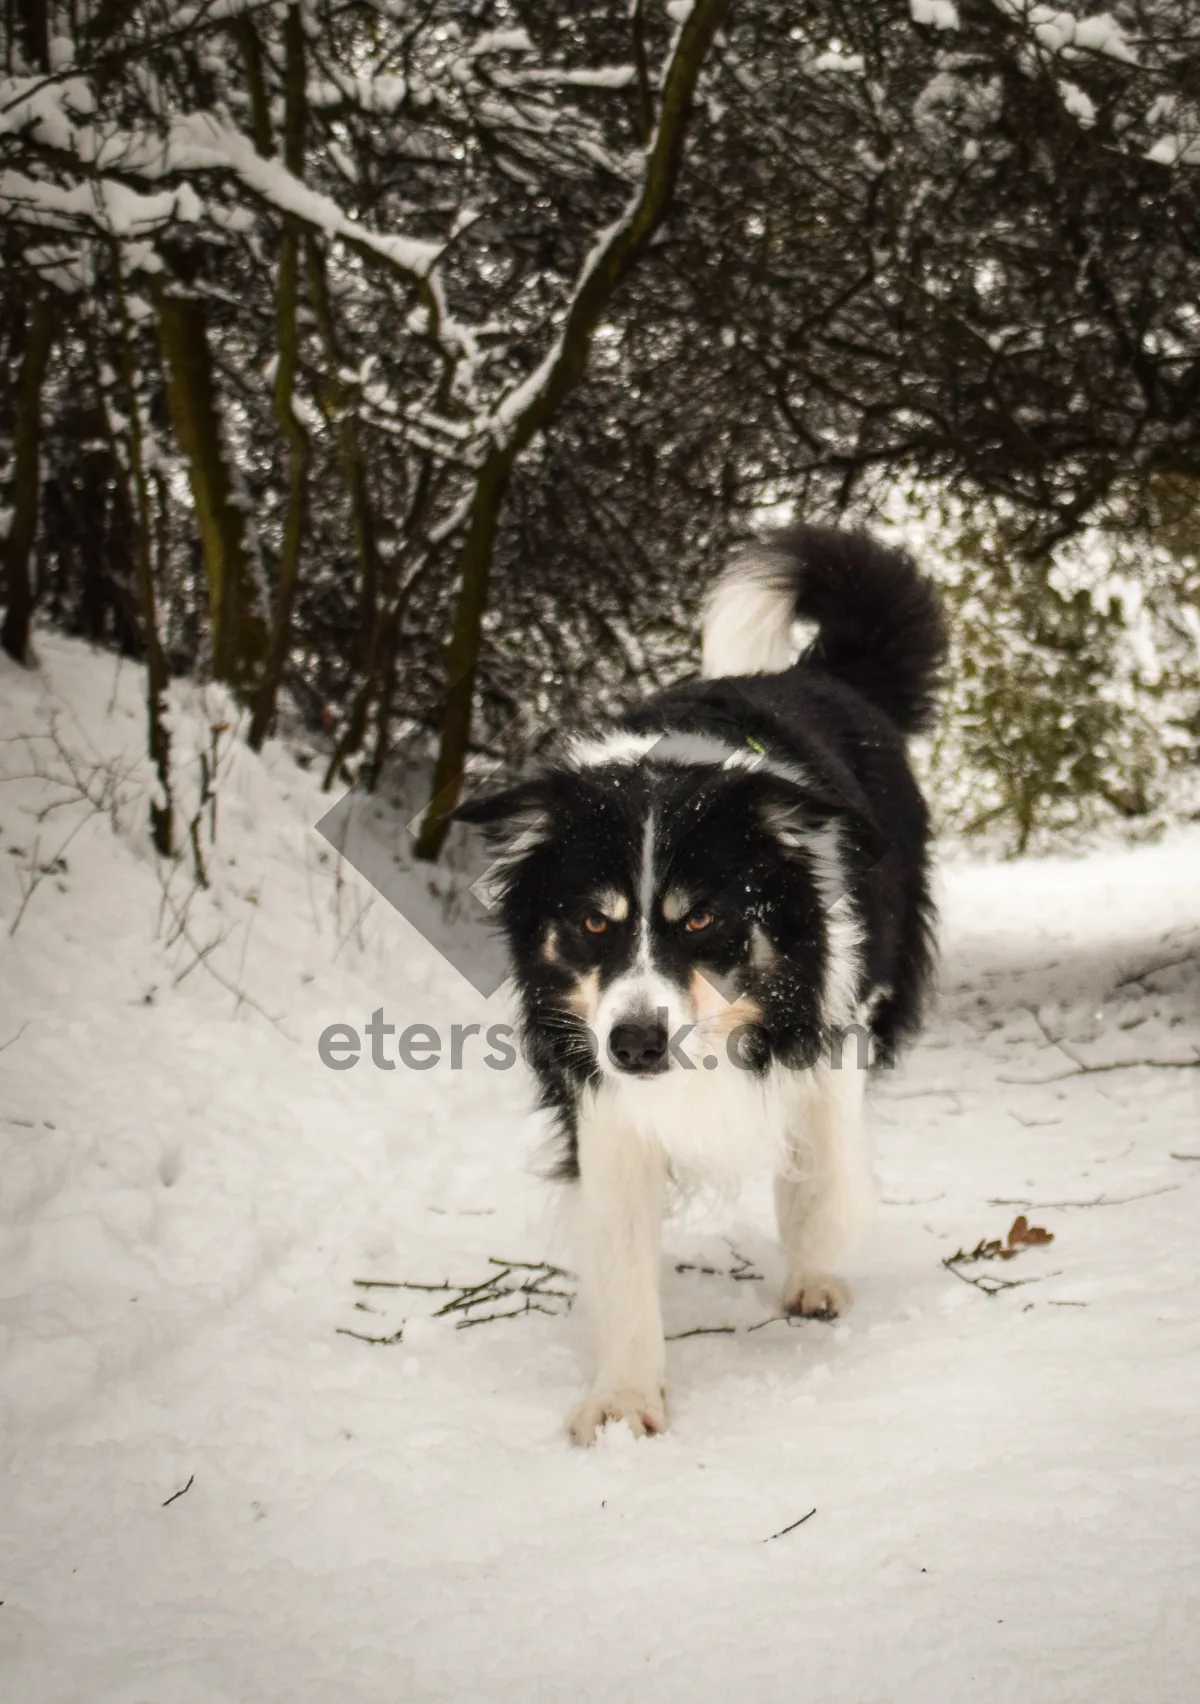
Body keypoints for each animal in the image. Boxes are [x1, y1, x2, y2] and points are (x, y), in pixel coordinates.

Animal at [456, 524, 947, 1444]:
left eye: (698, 920)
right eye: (595, 923)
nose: (637, 1044)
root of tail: (815, 673)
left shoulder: (832, 1026)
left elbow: (820, 1176)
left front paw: (816, 1272)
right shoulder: (602, 1093)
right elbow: (620, 1246)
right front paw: (623, 1399)